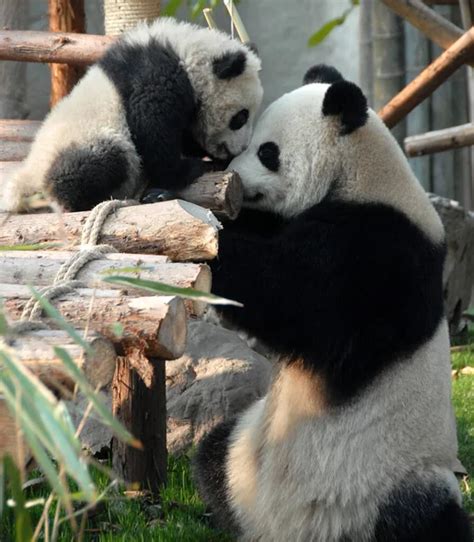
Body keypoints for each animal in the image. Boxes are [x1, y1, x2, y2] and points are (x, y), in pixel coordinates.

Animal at [0, 17, 262, 212]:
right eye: (241, 117)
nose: (238, 149)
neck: (187, 51)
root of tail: (29, 177)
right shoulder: (157, 76)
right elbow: (152, 127)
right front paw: (187, 169)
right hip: (88, 138)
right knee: (97, 163)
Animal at [193, 66, 470, 540]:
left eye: (267, 152)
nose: (234, 176)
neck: (362, 175)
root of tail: (283, 530)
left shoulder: (381, 249)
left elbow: (295, 299)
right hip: (244, 452)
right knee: (211, 453)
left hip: (394, 481)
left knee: (429, 517)